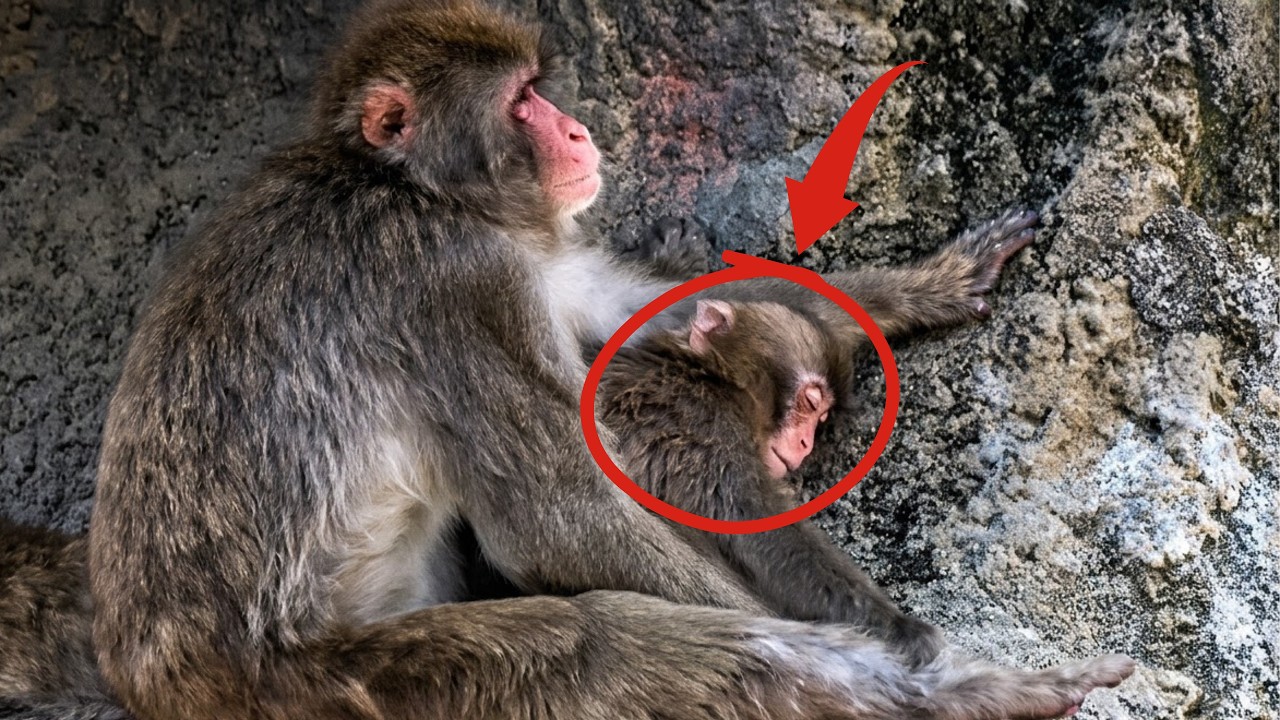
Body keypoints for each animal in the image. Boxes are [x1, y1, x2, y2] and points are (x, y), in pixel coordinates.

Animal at [74, 1, 1135, 718]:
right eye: (522, 103)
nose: (578, 129)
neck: (414, 188)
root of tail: (159, 688)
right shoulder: (447, 280)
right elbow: (561, 520)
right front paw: (913, 656)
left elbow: (644, 310)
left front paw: (929, 281)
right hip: (334, 690)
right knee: (591, 641)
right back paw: (970, 694)